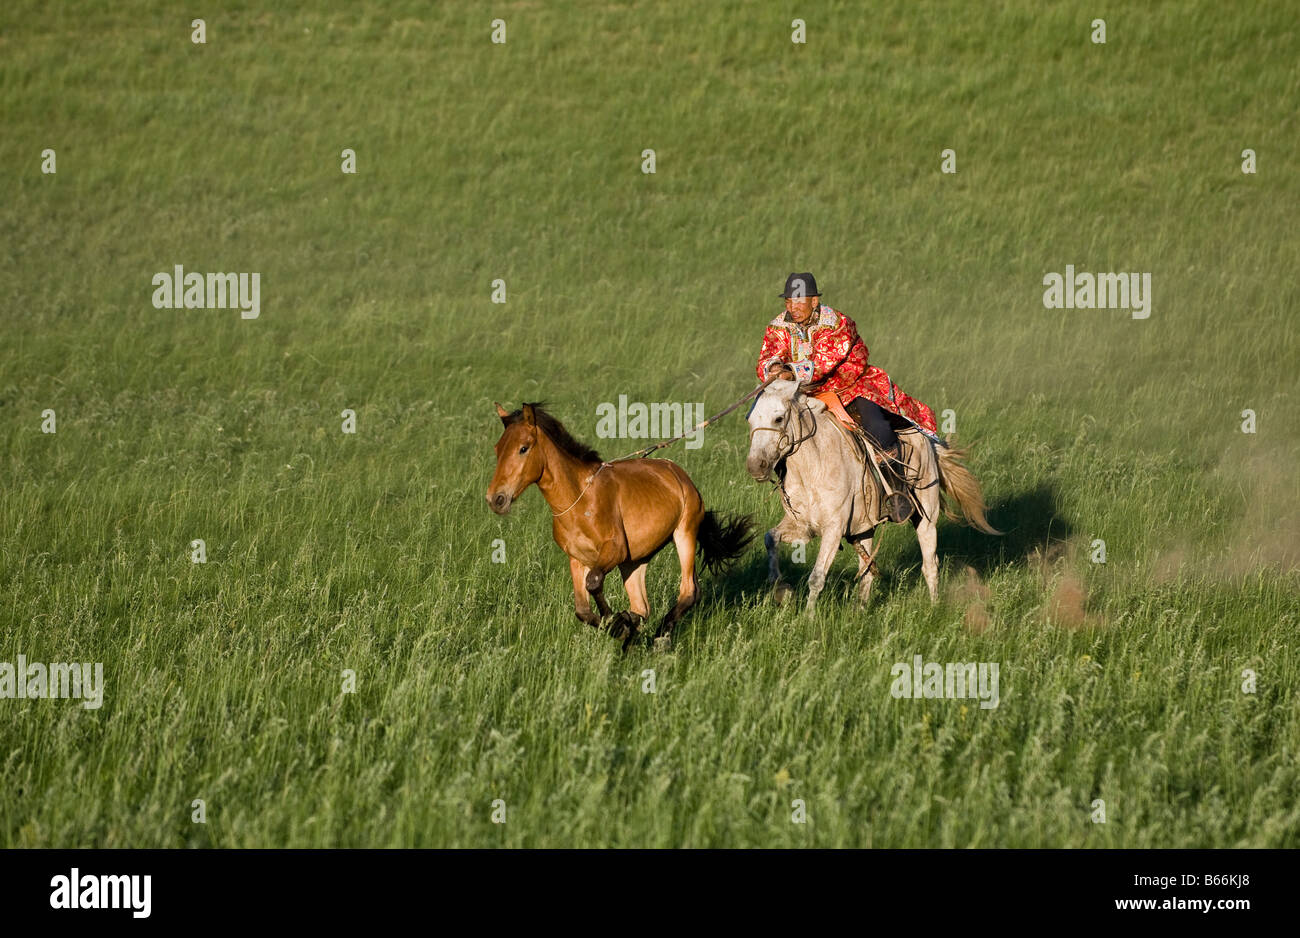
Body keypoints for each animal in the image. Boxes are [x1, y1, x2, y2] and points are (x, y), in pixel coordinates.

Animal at [487, 402, 754, 649]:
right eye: (497, 449)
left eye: (523, 448)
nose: (496, 499)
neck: (580, 500)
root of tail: (681, 475)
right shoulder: (577, 559)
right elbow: (582, 610)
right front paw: (620, 625)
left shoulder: (614, 550)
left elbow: (594, 582)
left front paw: (616, 624)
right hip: (635, 561)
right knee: (642, 607)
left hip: (684, 534)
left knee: (689, 591)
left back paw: (659, 637)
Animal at [745, 378, 999, 615]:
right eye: (751, 420)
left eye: (778, 419)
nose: (756, 466)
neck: (812, 467)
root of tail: (927, 439)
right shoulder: (803, 526)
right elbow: (770, 538)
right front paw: (780, 587)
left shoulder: (833, 529)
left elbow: (816, 577)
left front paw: (808, 618)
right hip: (864, 528)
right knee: (866, 573)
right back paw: (859, 611)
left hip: (926, 517)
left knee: (930, 565)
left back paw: (934, 607)